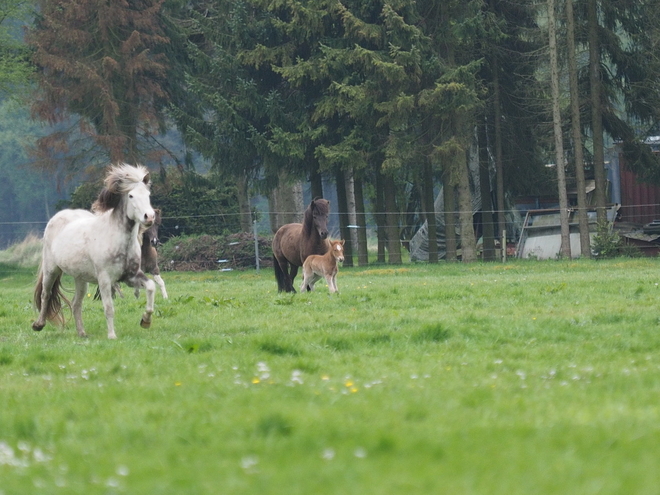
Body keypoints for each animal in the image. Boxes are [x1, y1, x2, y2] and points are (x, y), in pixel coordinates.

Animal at [33, 165, 157, 340]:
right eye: (131, 195)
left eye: (148, 194)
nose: (149, 217)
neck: (119, 241)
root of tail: (57, 217)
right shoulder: (105, 279)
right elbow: (108, 307)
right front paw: (112, 335)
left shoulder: (130, 276)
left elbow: (151, 287)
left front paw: (145, 321)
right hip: (51, 269)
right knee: (46, 295)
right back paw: (39, 325)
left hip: (80, 278)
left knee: (76, 303)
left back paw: (82, 333)